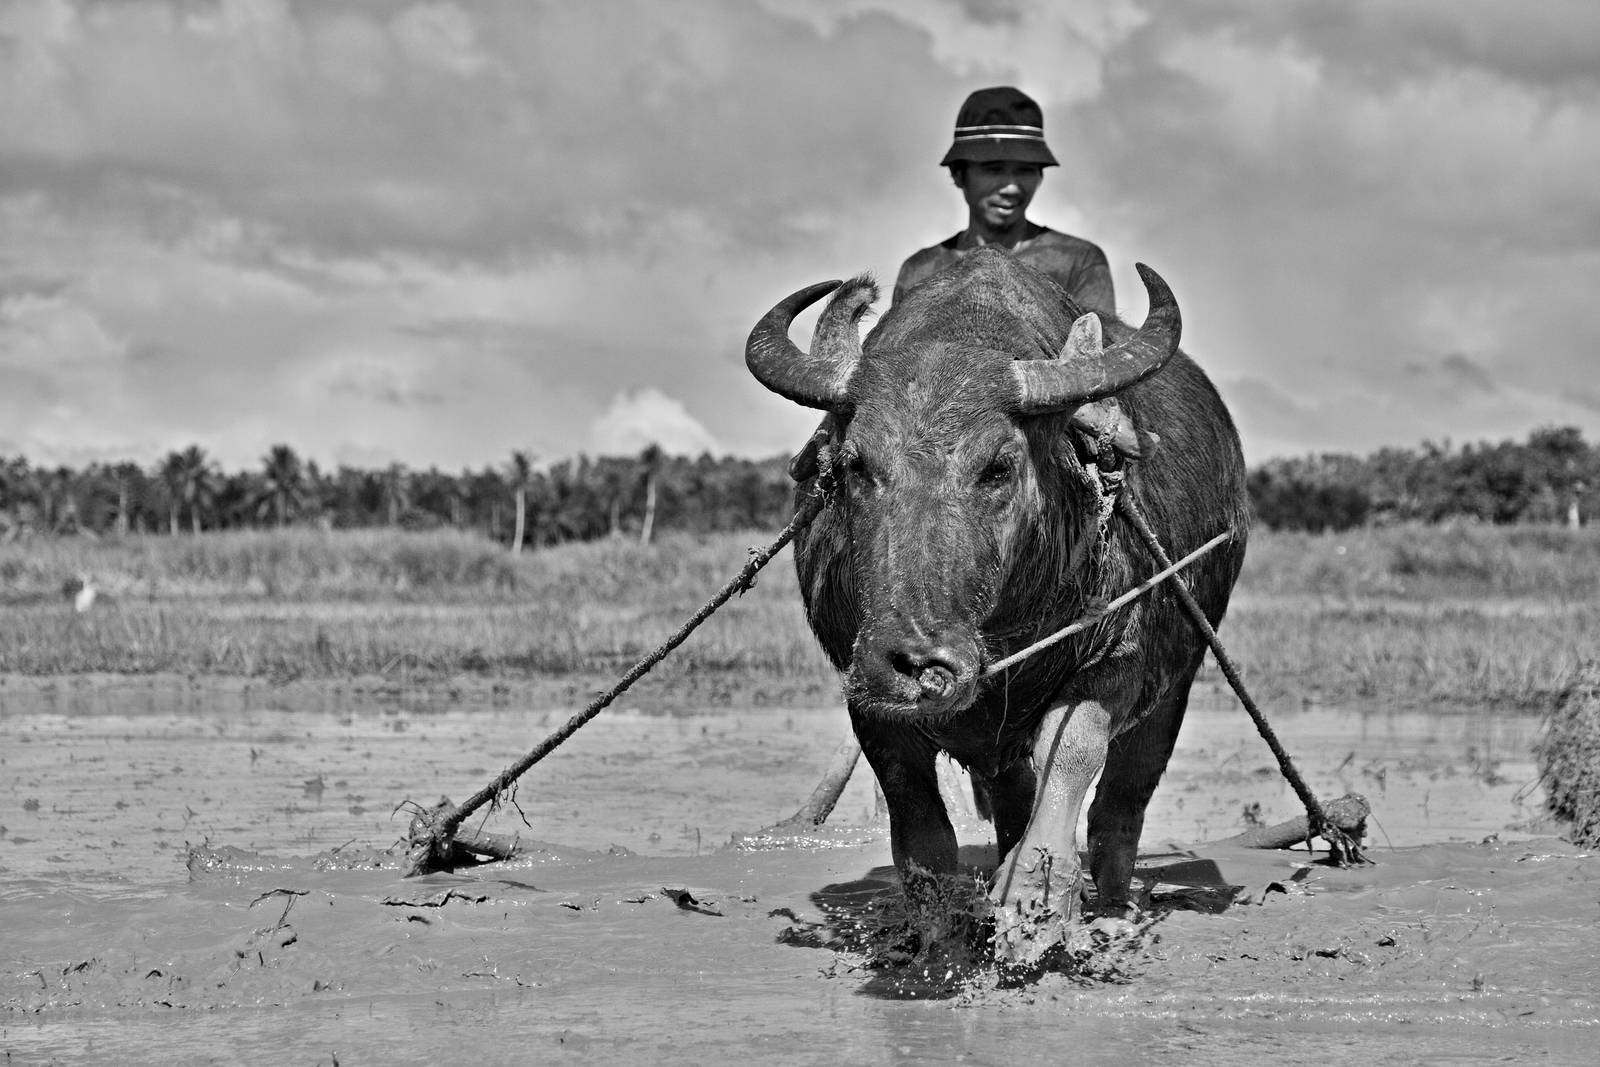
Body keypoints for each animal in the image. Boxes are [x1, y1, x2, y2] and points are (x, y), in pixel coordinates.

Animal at [743, 247, 1249, 964]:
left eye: (998, 466)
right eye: (854, 464)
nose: (917, 663)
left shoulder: (1118, 659)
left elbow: (1074, 755)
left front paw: (1033, 900)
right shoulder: (864, 689)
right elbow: (921, 832)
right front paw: (939, 930)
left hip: (1177, 683)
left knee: (1120, 808)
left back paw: (1113, 908)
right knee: (1016, 797)